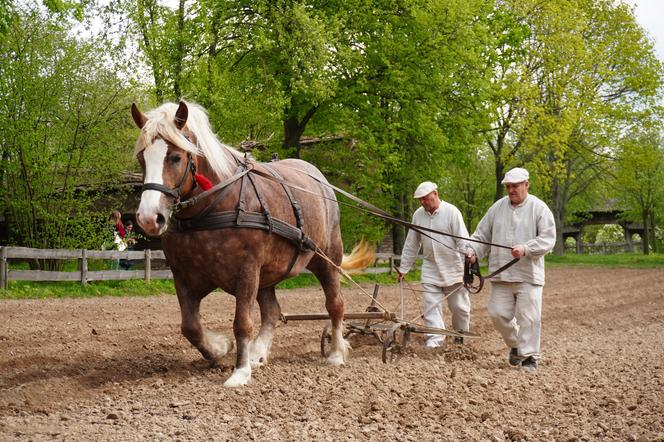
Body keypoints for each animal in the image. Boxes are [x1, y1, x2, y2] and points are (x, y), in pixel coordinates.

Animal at [130, 100, 374, 386]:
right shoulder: (184, 275)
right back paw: (258, 352)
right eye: (141, 157)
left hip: (326, 258)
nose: (149, 218)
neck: (211, 207)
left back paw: (335, 353)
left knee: (335, 304)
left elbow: (242, 322)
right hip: (267, 274)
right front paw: (219, 348)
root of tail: (320, 179)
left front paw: (240, 371)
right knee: (271, 311)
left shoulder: (246, 270)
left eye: (176, 157)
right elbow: (190, 326)